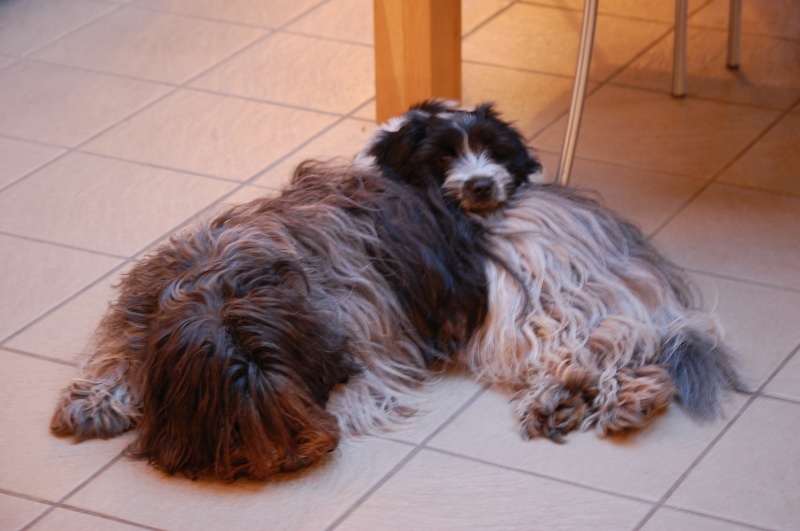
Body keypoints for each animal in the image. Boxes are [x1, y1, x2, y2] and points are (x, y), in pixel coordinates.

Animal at [51, 157, 489, 480]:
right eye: (234, 414)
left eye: (285, 392)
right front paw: (94, 400)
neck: (221, 287)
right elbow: (117, 347)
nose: (292, 457)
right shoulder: (140, 307)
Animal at [358, 100, 744, 442]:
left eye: (493, 150)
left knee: (603, 343)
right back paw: (589, 398)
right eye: (442, 156)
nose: (481, 184)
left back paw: (596, 395)